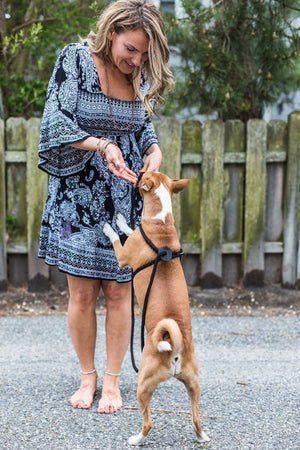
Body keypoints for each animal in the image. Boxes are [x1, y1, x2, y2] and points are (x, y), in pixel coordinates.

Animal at [103, 171, 211, 444]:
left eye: (144, 175)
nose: (139, 170)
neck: (161, 222)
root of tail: (174, 348)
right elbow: (131, 228)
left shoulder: (123, 256)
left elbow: (119, 235)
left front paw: (112, 224)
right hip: (194, 386)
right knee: (196, 418)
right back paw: (202, 437)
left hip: (144, 384)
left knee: (148, 422)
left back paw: (136, 439)